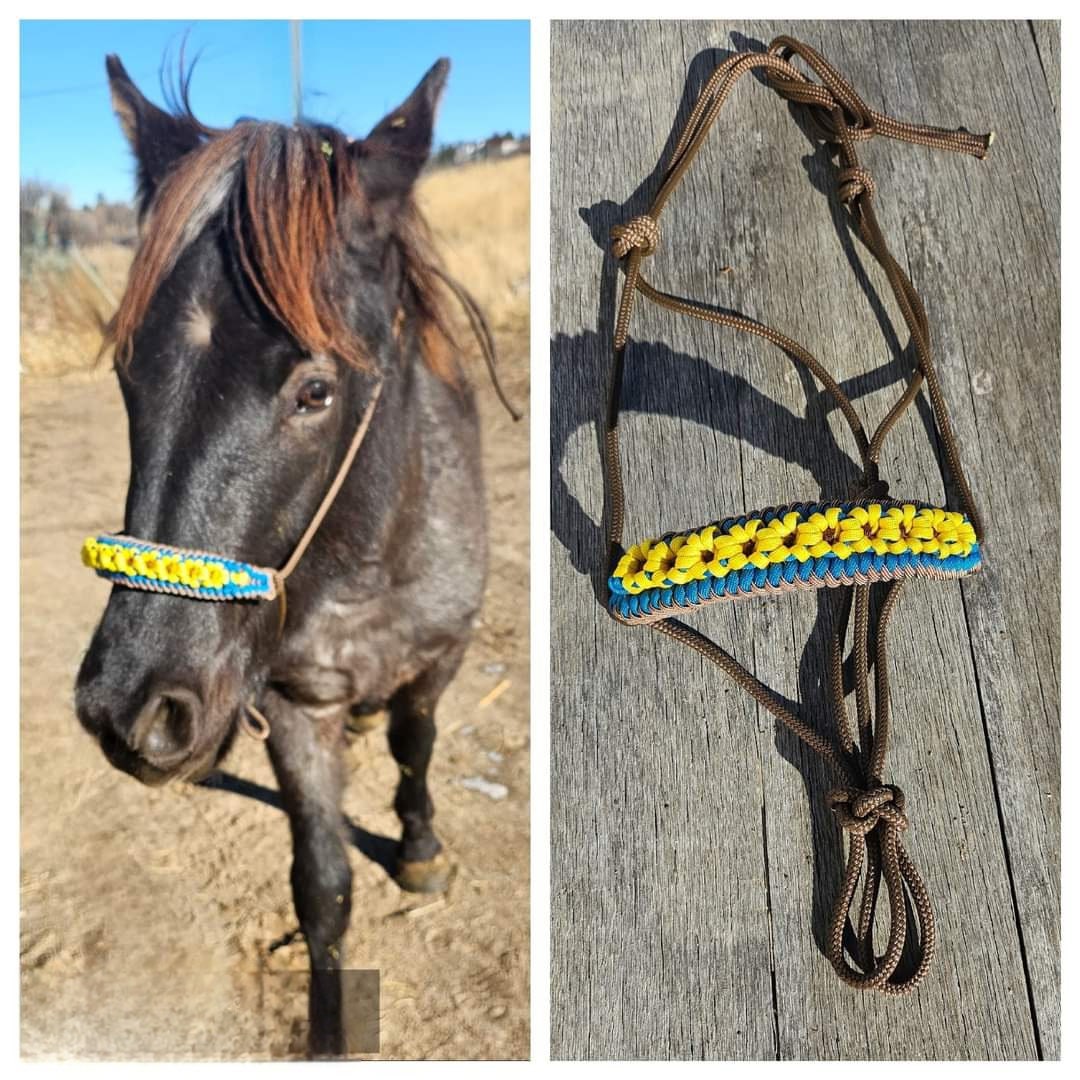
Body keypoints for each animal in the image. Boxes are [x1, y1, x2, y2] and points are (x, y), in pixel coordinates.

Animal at [74, 53, 507, 1057]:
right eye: (127, 375)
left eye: (315, 390)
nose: (130, 711)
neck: (368, 565)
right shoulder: (292, 701)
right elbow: (322, 885)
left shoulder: (443, 656)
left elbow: (418, 746)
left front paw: (420, 851)